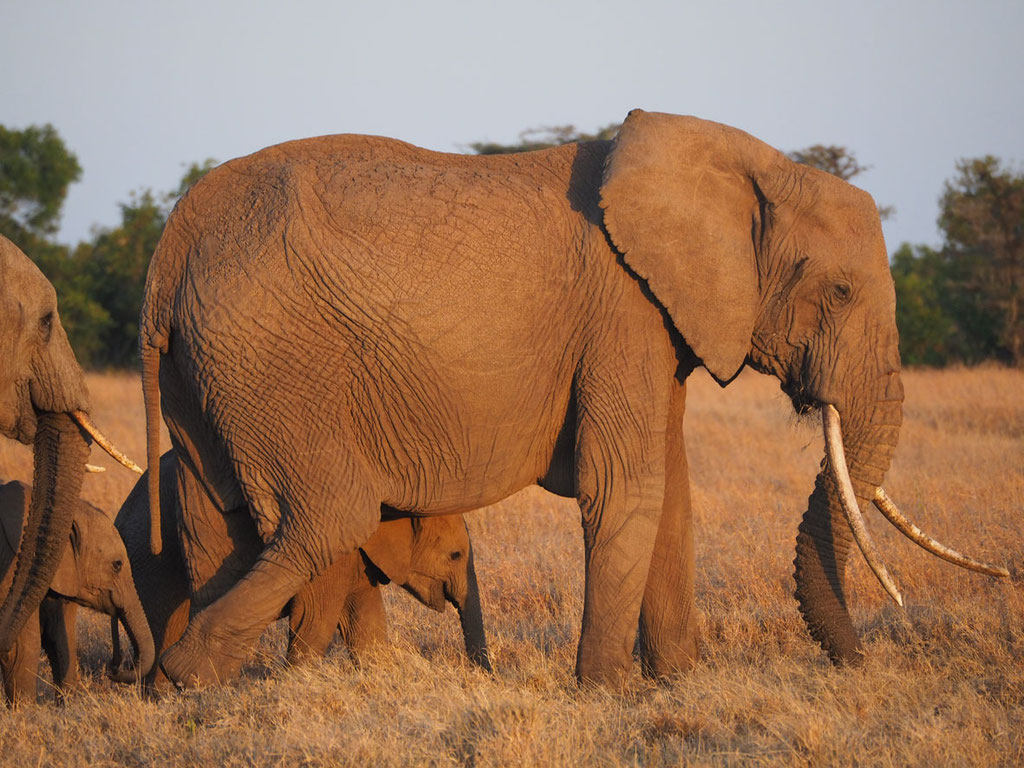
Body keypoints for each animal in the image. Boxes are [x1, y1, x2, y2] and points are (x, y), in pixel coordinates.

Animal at [0, 483, 154, 708]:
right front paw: (24, 712)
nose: (114, 669)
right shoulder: (10, 569)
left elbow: (59, 639)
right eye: (117, 565)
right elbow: (22, 646)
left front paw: (66, 707)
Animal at [112, 450, 491, 692]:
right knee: (163, 626)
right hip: (151, 559)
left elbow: (365, 622)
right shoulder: (330, 553)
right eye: (455, 555)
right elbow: (316, 619)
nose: (483, 676)